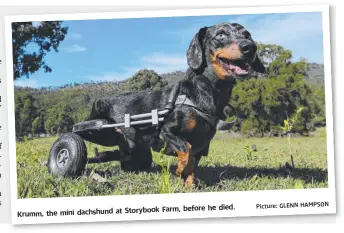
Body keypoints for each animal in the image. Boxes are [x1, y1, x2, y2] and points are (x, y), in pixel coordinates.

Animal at [76, 21, 268, 186]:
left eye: (247, 35)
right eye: (220, 34)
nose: (250, 47)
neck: (204, 91)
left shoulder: (201, 145)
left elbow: (193, 165)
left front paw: (189, 184)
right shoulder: (167, 132)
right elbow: (186, 149)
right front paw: (181, 169)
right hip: (97, 117)